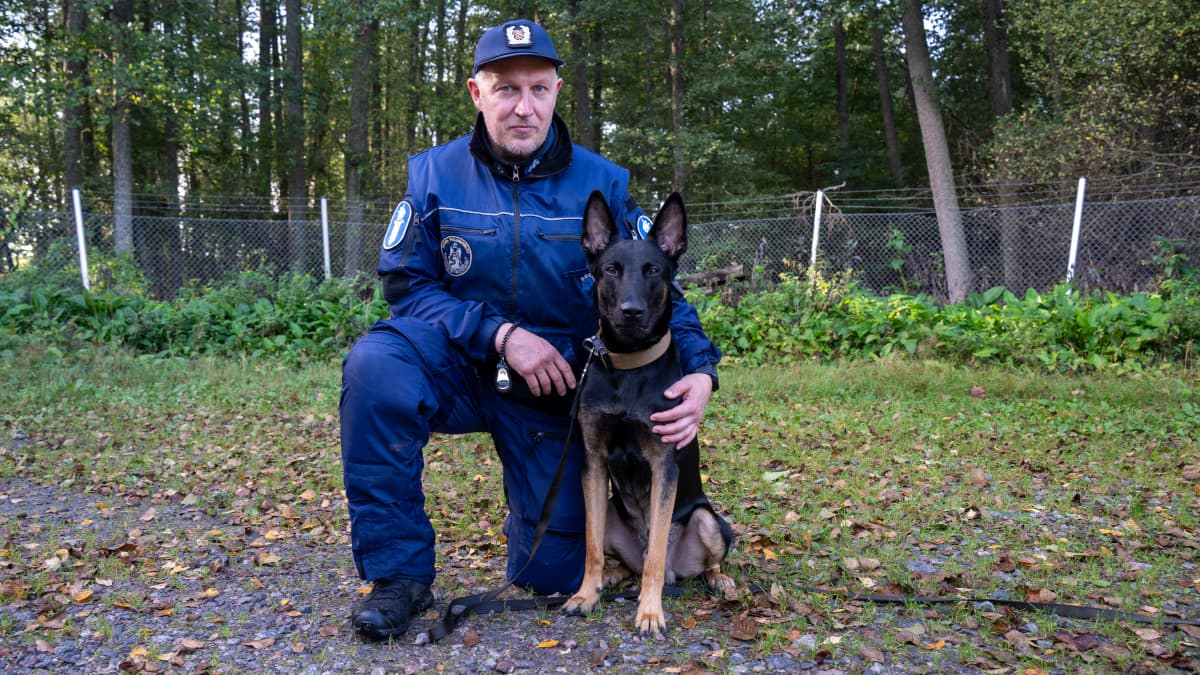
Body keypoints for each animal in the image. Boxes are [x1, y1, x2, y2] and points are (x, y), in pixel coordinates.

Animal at [564, 192, 739, 634]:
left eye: (654, 271)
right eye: (611, 269)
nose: (631, 311)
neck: (629, 369)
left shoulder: (664, 466)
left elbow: (657, 554)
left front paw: (649, 611)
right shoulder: (593, 462)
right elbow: (591, 546)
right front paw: (585, 594)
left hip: (708, 520)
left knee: (696, 562)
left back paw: (720, 581)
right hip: (612, 509)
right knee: (630, 562)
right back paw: (612, 576)